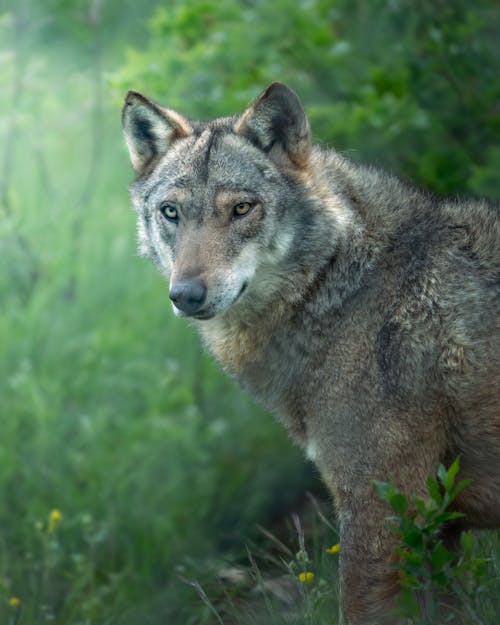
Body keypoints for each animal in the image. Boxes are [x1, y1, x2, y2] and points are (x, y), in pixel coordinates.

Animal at [122, 83, 500, 624]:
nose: (186, 295)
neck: (341, 285)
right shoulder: (438, 527)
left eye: (242, 209)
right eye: (171, 212)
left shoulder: (380, 507)